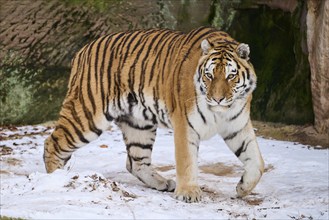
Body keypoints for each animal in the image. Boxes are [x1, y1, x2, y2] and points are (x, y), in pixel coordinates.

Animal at [43, 26, 264, 202]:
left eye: (230, 76)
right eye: (209, 75)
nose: (217, 99)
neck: (222, 111)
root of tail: (82, 50)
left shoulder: (237, 126)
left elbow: (257, 162)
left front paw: (242, 188)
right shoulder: (185, 125)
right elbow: (187, 161)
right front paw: (189, 193)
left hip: (138, 123)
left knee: (135, 162)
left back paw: (163, 183)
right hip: (88, 115)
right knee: (52, 142)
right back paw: (57, 178)